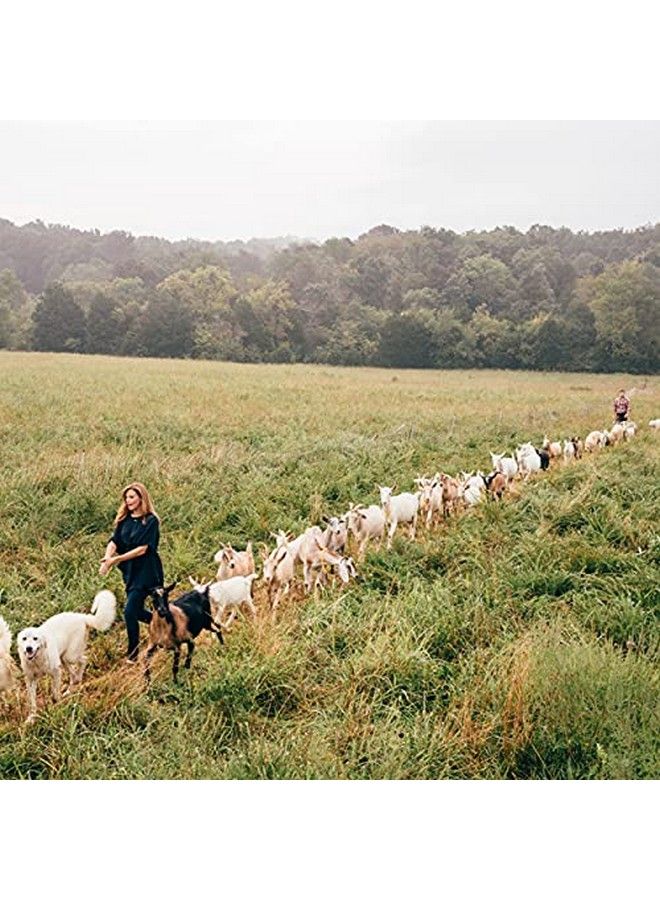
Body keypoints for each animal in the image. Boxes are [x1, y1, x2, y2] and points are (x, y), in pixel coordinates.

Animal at [17, 592, 116, 724]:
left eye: (35, 638)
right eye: (24, 639)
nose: (28, 648)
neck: (37, 660)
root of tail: (82, 617)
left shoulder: (56, 672)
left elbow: (54, 692)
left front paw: (57, 706)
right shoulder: (30, 680)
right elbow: (32, 701)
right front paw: (31, 718)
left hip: (70, 657)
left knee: (84, 660)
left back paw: (76, 681)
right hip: (63, 659)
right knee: (73, 675)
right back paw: (71, 688)